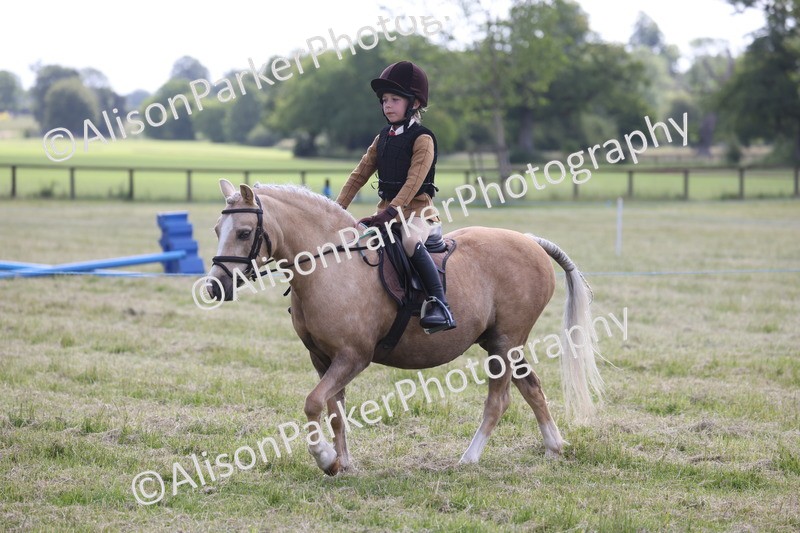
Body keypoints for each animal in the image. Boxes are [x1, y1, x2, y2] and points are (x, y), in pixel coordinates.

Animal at [207, 179, 603, 475]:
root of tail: (530, 241)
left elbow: (314, 402)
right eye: (217, 229)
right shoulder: (323, 358)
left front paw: (324, 459)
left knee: (499, 401)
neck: (332, 265)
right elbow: (335, 411)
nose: (214, 287)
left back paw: (468, 459)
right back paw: (554, 447)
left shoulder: (353, 357)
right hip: (501, 343)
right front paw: (342, 463)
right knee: (531, 388)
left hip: (505, 345)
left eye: (244, 232)